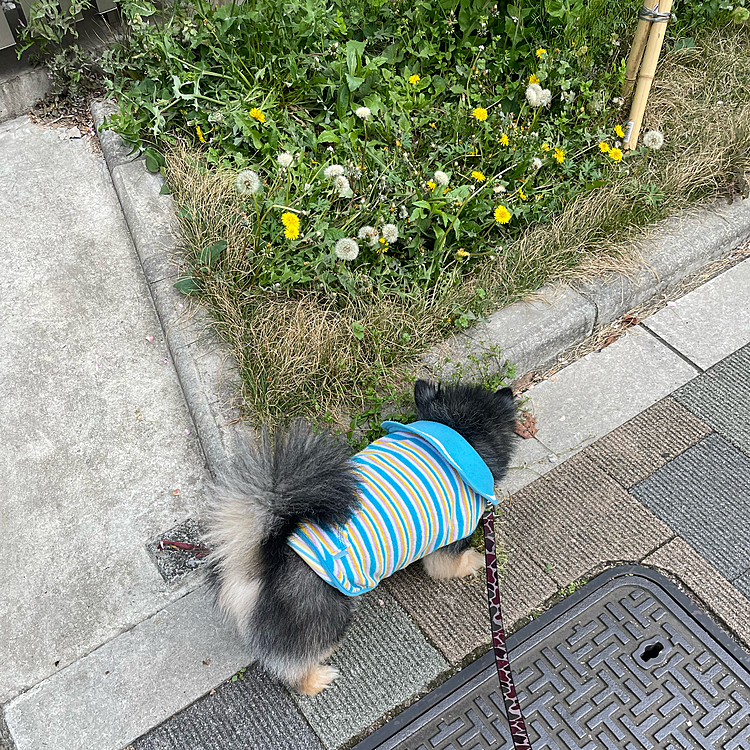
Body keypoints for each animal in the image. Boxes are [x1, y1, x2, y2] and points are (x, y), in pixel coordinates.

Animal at [206, 384, 516, 696]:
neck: (456, 430)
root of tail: (263, 560)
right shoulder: (448, 543)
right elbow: (451, 565)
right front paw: (476, 560)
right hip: (328, 616)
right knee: (295, 666)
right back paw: (316, 679)